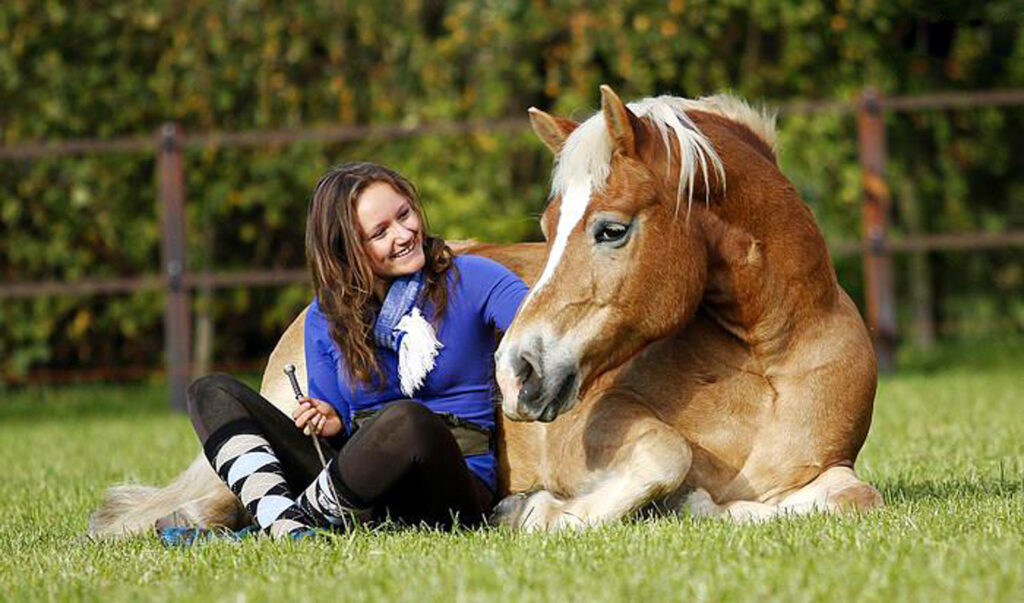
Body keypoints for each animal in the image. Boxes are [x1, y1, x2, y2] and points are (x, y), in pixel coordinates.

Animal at [88, 85, 880, 536]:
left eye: (610, 228)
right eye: (549, 222)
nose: (517, 370)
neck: (767, 360)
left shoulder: (835, 470)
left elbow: (855, 496)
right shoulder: (591, 433)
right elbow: (667, 453)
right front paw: (539, 512)